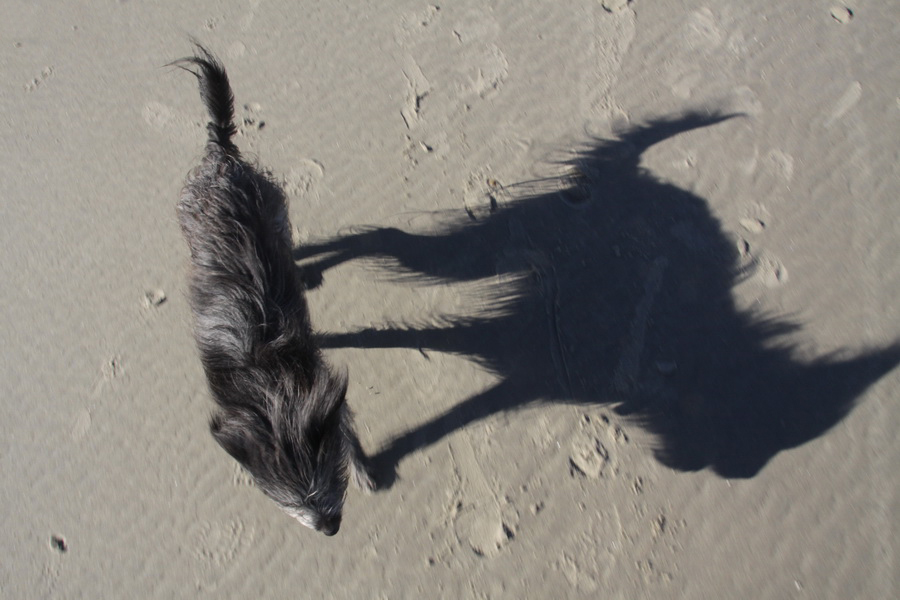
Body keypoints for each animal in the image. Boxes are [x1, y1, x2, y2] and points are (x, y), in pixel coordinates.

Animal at [172, 45, 372, 536]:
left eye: (330, 476)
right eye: (289, 500)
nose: (329, 528)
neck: (268, 386)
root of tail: (220, 153)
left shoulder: (317, 390)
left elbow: (343, 420)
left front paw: (362, 465)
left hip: (276, 212)